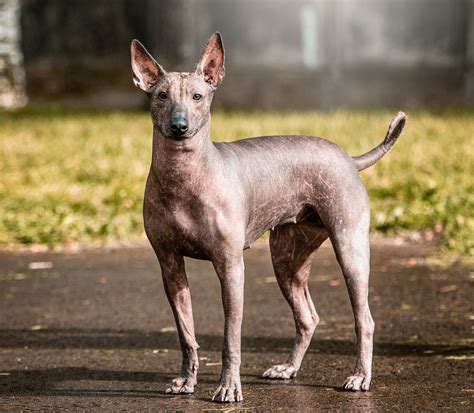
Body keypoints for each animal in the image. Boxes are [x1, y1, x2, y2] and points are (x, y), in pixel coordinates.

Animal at [131, 32, 408, 402]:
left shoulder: (231, 266)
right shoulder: (170, 266)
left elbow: (230, 337)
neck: (184, 174)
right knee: (307, 317)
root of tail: (349, 158)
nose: (179, 126)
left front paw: (228, 386)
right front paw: (186, 381)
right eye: (162, 95)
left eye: (197, 97)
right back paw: (288, 369)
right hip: (287, 261)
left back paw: (360, 376)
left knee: (364, 319)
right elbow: (186, 333)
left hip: (350, 251)